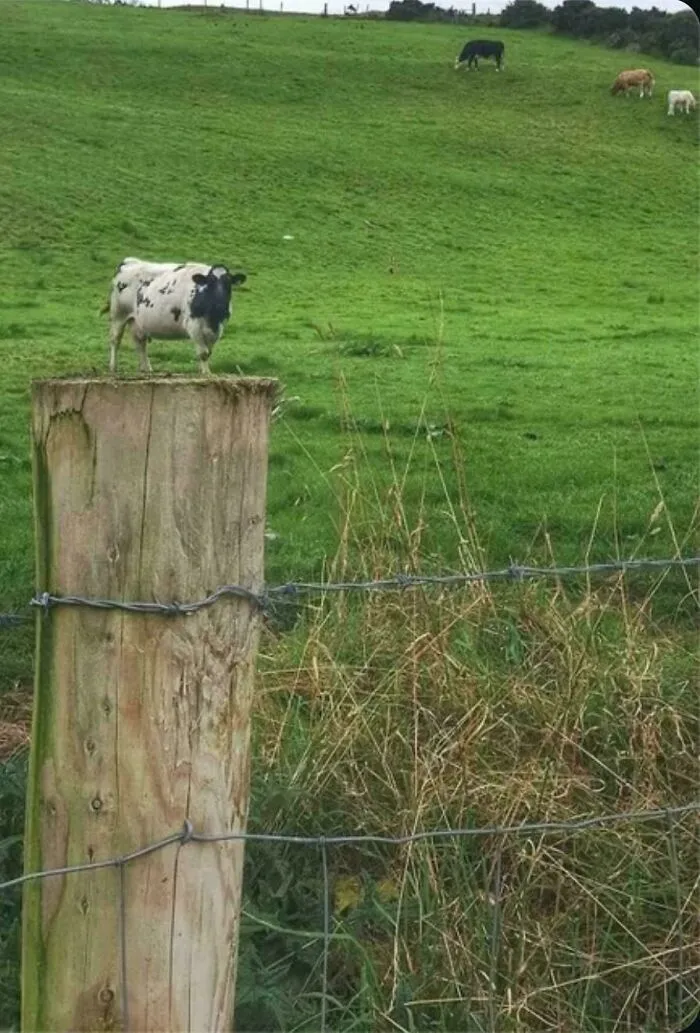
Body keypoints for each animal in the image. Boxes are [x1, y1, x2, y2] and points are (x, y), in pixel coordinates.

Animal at [104, 257, 246, 374]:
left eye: (228, 283)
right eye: (209, 283)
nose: (220, 303)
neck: (212, 317)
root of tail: (130, 261)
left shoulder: (218, 328)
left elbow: (209, 352)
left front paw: (204, 370)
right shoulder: (193, 325)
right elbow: (203, 353)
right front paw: (206, 373)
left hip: (137, 321)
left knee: (140, 343)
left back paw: (146, 368)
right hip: (118, 314)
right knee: (115, 340)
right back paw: (113, 367)